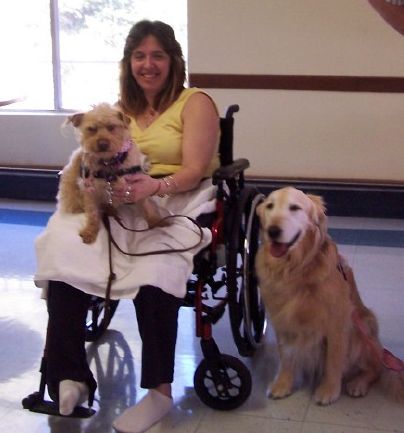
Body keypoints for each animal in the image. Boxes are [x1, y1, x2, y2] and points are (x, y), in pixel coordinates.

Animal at [58, 102, 163, 243]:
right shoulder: (90, 191)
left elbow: (147, 206)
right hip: (71, 183)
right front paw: (90, 231)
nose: (102, 144)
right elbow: (92, 213)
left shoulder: (138, 185)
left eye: (112, 127)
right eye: (92, 129)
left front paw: (158, 222)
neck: (110, 162)